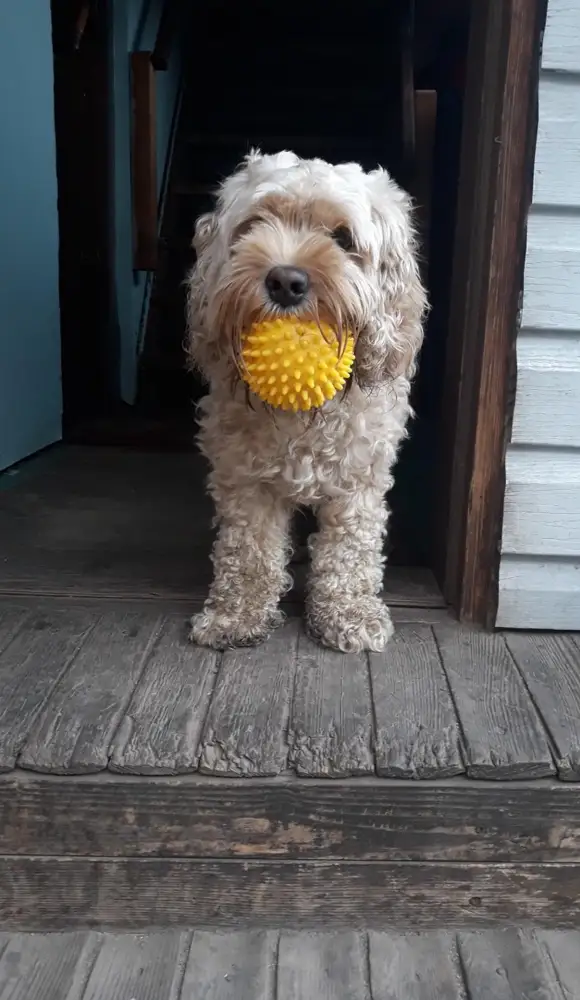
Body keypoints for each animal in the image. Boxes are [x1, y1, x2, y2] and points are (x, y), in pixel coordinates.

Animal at [186, 148, 426, 652]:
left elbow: (349, 551)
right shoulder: (244, 478)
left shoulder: (360, 478)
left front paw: (349, 614)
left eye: (343, 238)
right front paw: (236, 615)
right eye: (254, 223)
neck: (304, 415)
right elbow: (248, 550)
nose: (285, 281)